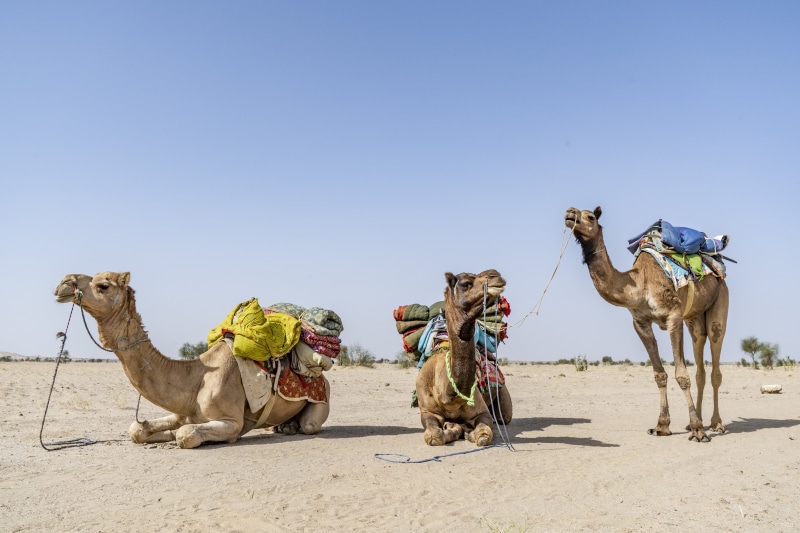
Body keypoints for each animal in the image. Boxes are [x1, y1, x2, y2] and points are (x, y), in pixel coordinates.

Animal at [53, 271, 330, 449]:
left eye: (104, 285)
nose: (64, 282)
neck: (195, 376)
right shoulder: (183, 410)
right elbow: (137, 429)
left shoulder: (232, 420)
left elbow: (185, 435)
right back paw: (281, 427)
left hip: (322, 401)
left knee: (309, 425)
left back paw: (290, 428)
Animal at [415, 269, 513, 446]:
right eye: (466, 283)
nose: (495, 275)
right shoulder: (427, 412)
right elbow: (434, 436)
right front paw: (453, 428)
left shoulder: (482, 412)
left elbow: (484, 435)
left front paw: (467, 431)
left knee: (505, 417)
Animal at [565, 207, 729, 442]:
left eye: (590, 217)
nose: (570, 214)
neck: (638, 285)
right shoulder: (640, 322)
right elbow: (660, 375)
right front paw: (662, 426)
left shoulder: (673, 316)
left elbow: (681, 375)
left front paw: (698, 430)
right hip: (694, 319)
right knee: (700, 364)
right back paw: (696, 422)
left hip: (719, 302)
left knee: (715, 358)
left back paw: (716, 424)